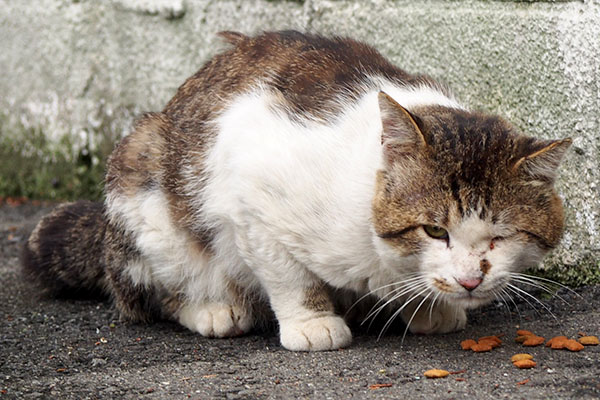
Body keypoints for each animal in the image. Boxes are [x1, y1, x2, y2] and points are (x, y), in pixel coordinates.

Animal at [22, 31, 572, 350]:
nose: (470, 281)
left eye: (501, 236)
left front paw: (431, 307)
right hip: (144, 186)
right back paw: (213, 308)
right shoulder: (249, 189)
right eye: (435, 230)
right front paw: (312, 322)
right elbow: (287, 274)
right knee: (148, 294)